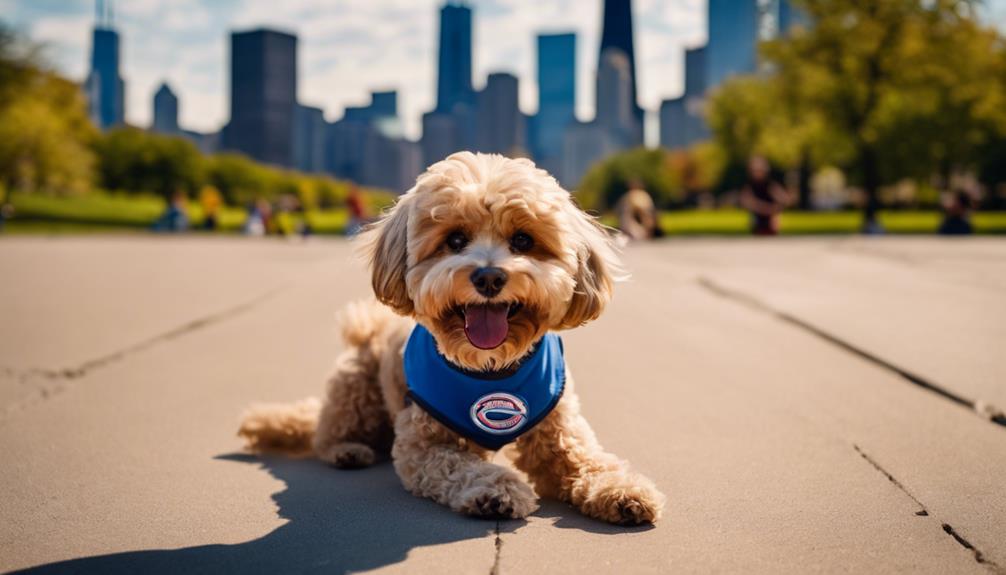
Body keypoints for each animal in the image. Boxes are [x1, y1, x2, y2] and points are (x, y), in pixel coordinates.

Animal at [238, 152, 663, 526]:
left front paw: (621, 488)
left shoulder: (561, 432)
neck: (490, 367)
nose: (488, 277)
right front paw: (497, 489)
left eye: (523, 240)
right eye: (455, 240)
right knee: (324, 434)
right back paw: (348, 450)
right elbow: (458, 465)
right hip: (355, 388)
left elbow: (590, 460)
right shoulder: (421, 445)